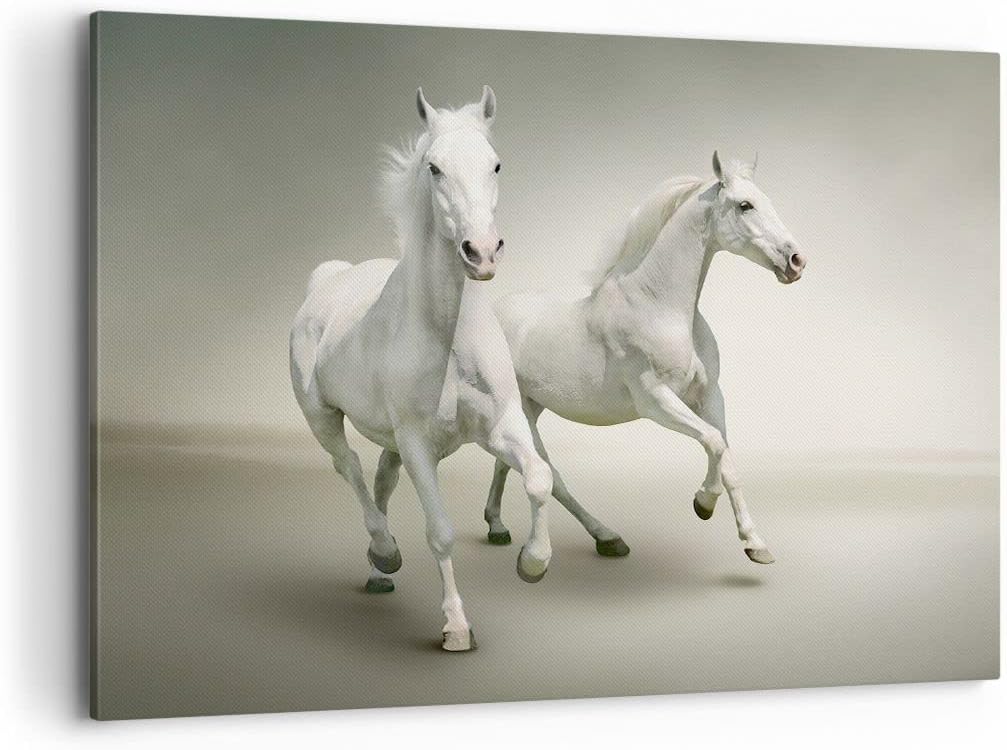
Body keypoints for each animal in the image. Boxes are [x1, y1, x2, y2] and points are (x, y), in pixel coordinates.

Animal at [290, 87, 554, 652]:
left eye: (496, 163)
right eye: (434, 168)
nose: (482, 252)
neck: (448, 337)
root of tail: (328, 278)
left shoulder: (500, 426)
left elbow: (540, 477)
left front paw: (533, 562)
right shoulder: (417, 443)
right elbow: (441, 532)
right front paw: (455, 626)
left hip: (389, 439)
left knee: (380, 480)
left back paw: (378, 569)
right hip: (322, 417)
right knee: (349, 467)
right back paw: (385, 552)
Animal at [483, 152, 807, 566]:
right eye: (744, 205)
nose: (796, 261)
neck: (660, 307)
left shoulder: (709, 396)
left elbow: (727, 457)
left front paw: (755, 543)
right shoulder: (655, 401)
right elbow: (714, 442)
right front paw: (703, 503)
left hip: (531, 407)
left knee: (507, 464)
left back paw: (499, 527)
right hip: (520, 409)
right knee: (547, 474)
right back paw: (602, 537)